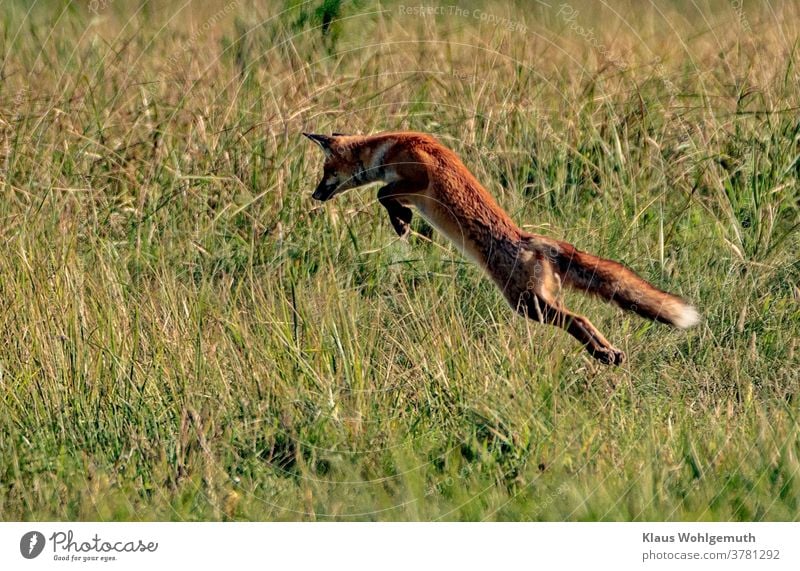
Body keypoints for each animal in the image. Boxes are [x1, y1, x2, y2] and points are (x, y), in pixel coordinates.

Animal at [306, 131, 700, 364]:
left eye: (326, 171)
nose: (313, 195)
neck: (388, 146)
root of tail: (534, 241)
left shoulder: (418, 176)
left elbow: (382, 193)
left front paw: (401, 221)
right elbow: (386, 196)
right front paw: (402, 222)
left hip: (528, 305)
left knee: (578, 319)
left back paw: (603, 353)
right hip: (536, 301)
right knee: (581, 319)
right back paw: (608, 353)